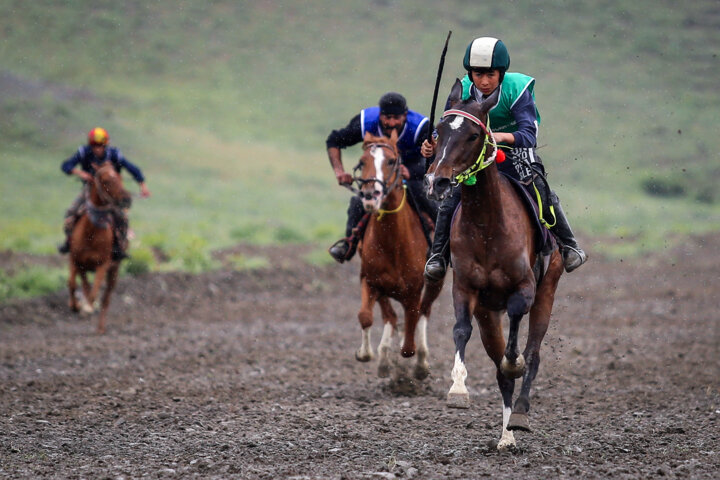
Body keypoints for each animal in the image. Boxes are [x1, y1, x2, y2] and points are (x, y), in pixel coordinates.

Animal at [67, 161, 132, 334]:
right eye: (106, 181)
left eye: (120, 177)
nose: (127, 199)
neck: (91, 232)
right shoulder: (76, 261)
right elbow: (74, 284)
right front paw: (75, 306)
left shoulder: (103, 265)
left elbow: (95, 291)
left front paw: (87, 308)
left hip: (114, 271)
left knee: (105, 298)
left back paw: (100, 328)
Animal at [352, 129, 444, 380]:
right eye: (363, 161)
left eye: (392, 161)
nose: (370, 195)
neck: (392, 244)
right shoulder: (369, 280)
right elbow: (366, 316)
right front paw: (366, 353)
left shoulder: (413, 291)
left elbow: (409, 342)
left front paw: (418, 360)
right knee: (391, 318)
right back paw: (384, 357)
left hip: (434, 284)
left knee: (424, 312)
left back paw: (421, 363)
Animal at [424, 80, 564, 452]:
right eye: (439, 131)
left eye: (473, 134)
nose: (437, 182)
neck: (487, 225)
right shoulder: (465, 289)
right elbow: (461, 330)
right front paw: (458, 390)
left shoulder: (525, 287)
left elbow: (517, 336)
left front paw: (514, 364)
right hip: (488, 313)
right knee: (499, 368)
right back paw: (506, 436)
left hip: (548, 289)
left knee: (532, 352)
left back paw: (520, 416)